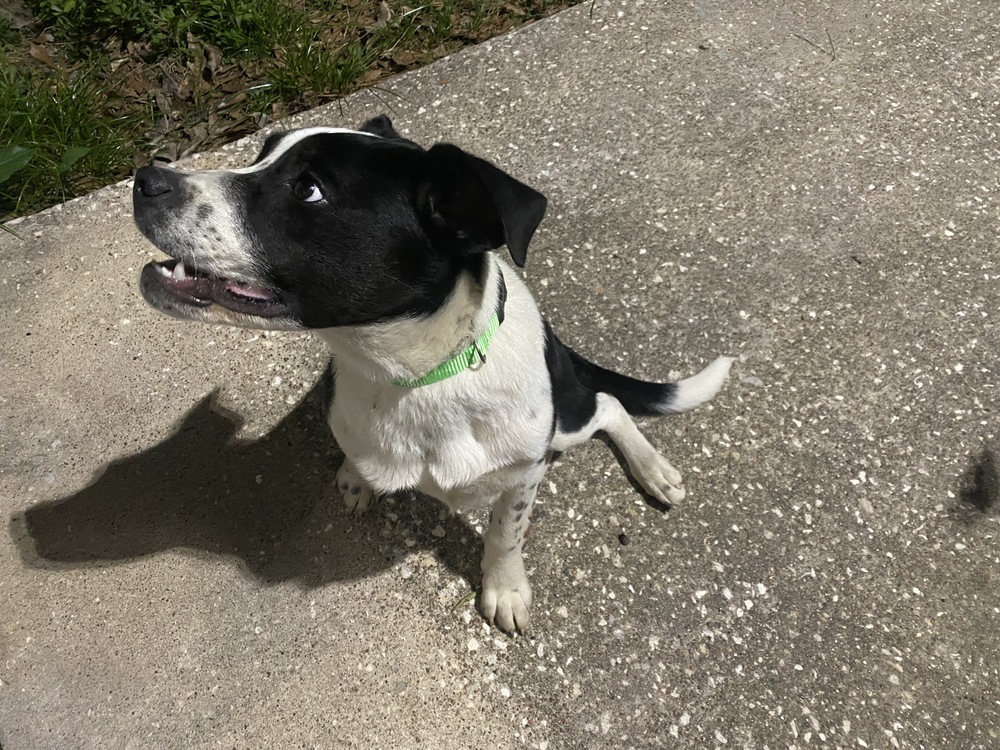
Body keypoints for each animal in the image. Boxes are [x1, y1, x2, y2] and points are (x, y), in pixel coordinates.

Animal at [133, 117, 736, 636]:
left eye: (309, 189)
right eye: (263, 151)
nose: (146, 179)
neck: (417, 378)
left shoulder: (525, 473)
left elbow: (506, 535)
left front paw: (505, 589)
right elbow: (356, 454)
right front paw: (356, 477)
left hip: (566, 420)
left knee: (607, 402)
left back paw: (654, 470)